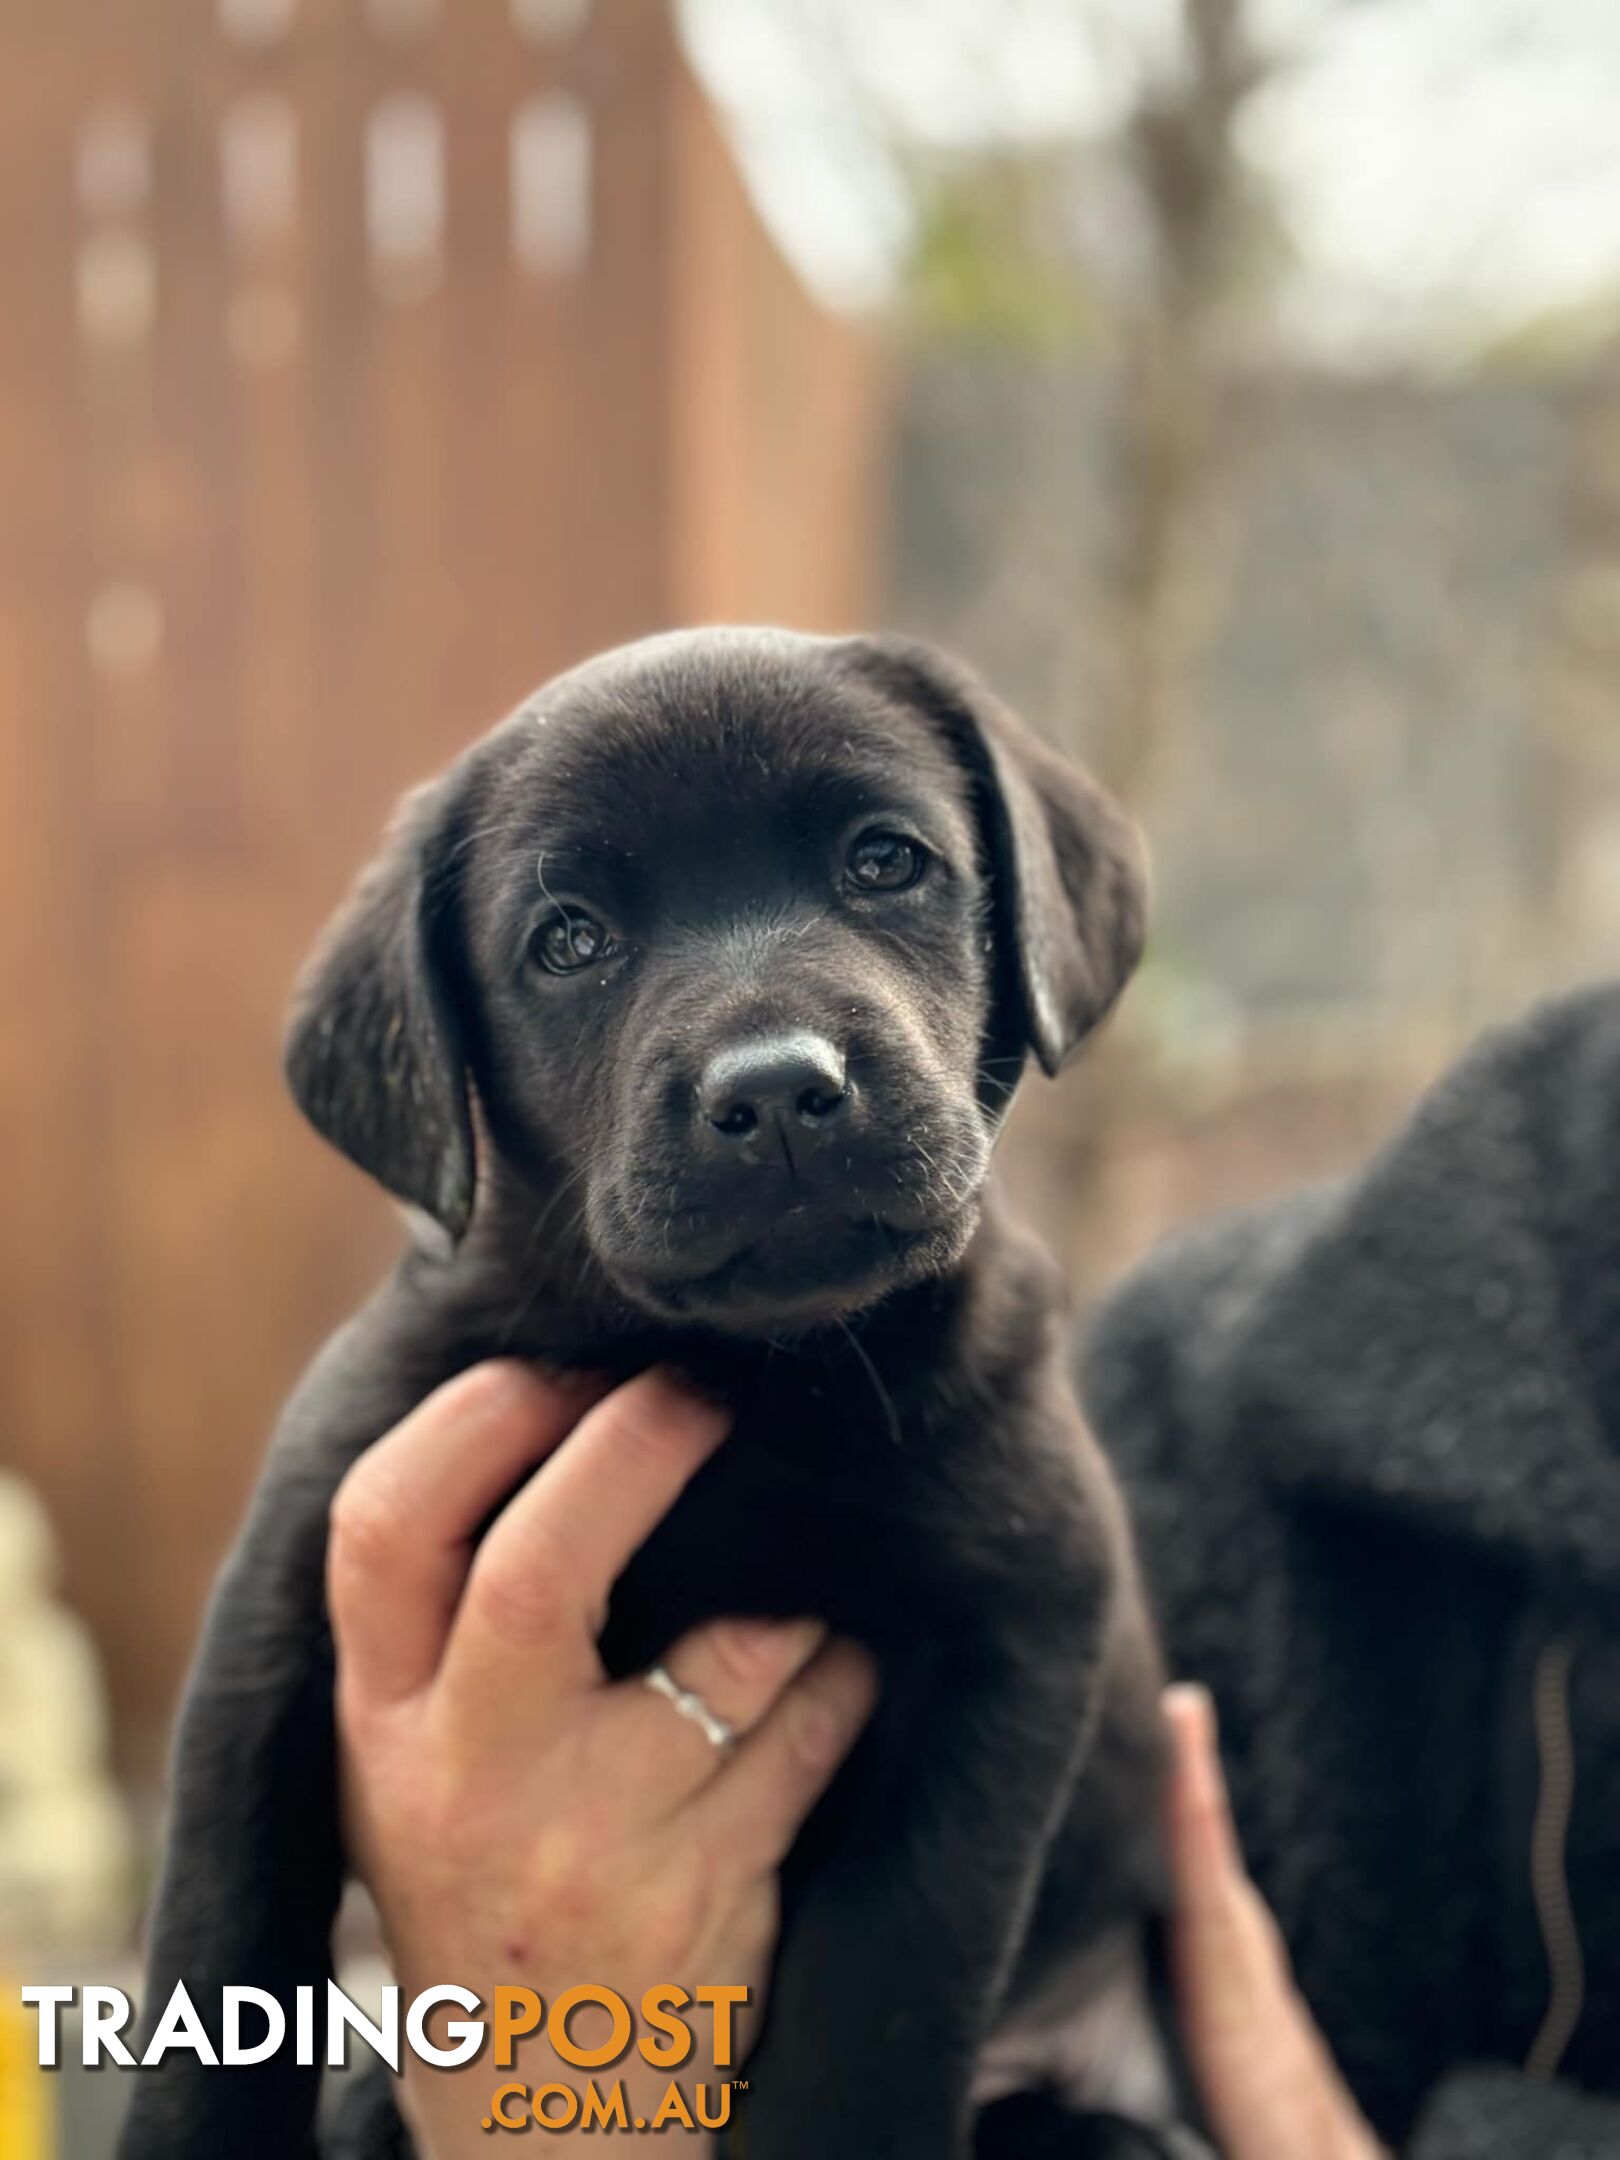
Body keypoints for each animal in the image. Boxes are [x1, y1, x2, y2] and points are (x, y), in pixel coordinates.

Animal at [120, 630, 1209, 2151]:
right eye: (570, 940)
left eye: (886, 861)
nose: (778, 1090)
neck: (754, 1372)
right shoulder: (284, 1596)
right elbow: (217, 1935)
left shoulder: (1011, 1635)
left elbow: (882, 1991)